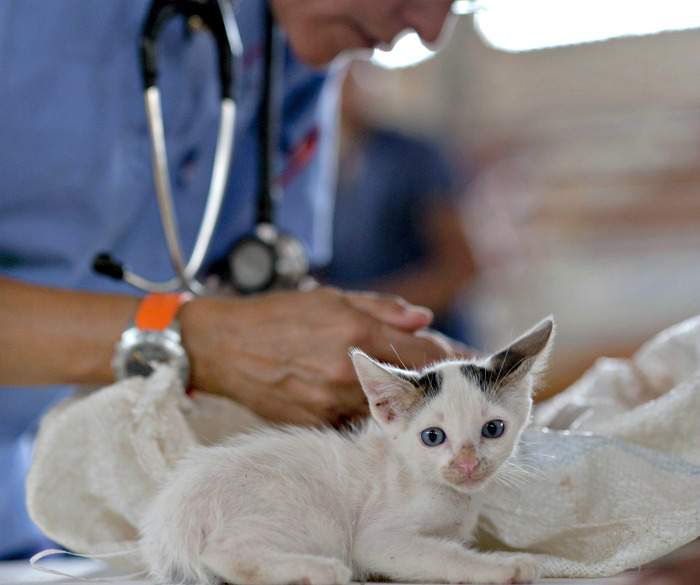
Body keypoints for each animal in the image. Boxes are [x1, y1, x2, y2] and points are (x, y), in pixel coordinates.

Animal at [139, 318, 552, 584]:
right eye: (433, 437)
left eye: (493, 429)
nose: (466, 464)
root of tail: (172, 519)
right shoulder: (378, 539)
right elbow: (441, 556)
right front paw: (505, 567)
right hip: (308, 517)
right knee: (222, 554)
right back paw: (317, 571)